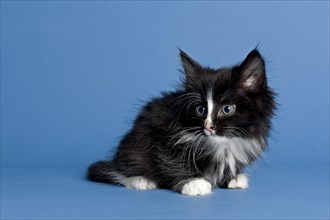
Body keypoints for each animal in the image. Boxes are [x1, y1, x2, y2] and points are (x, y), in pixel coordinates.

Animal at [87, 49, 276, 196]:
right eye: (200, 110)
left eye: (227, 109)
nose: (208, 127)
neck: (221, 144)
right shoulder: (163, 136)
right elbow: (171, 161)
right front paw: (193, 182)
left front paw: (233, 178)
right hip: (134, 145)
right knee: (122, 169)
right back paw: (141, 180)